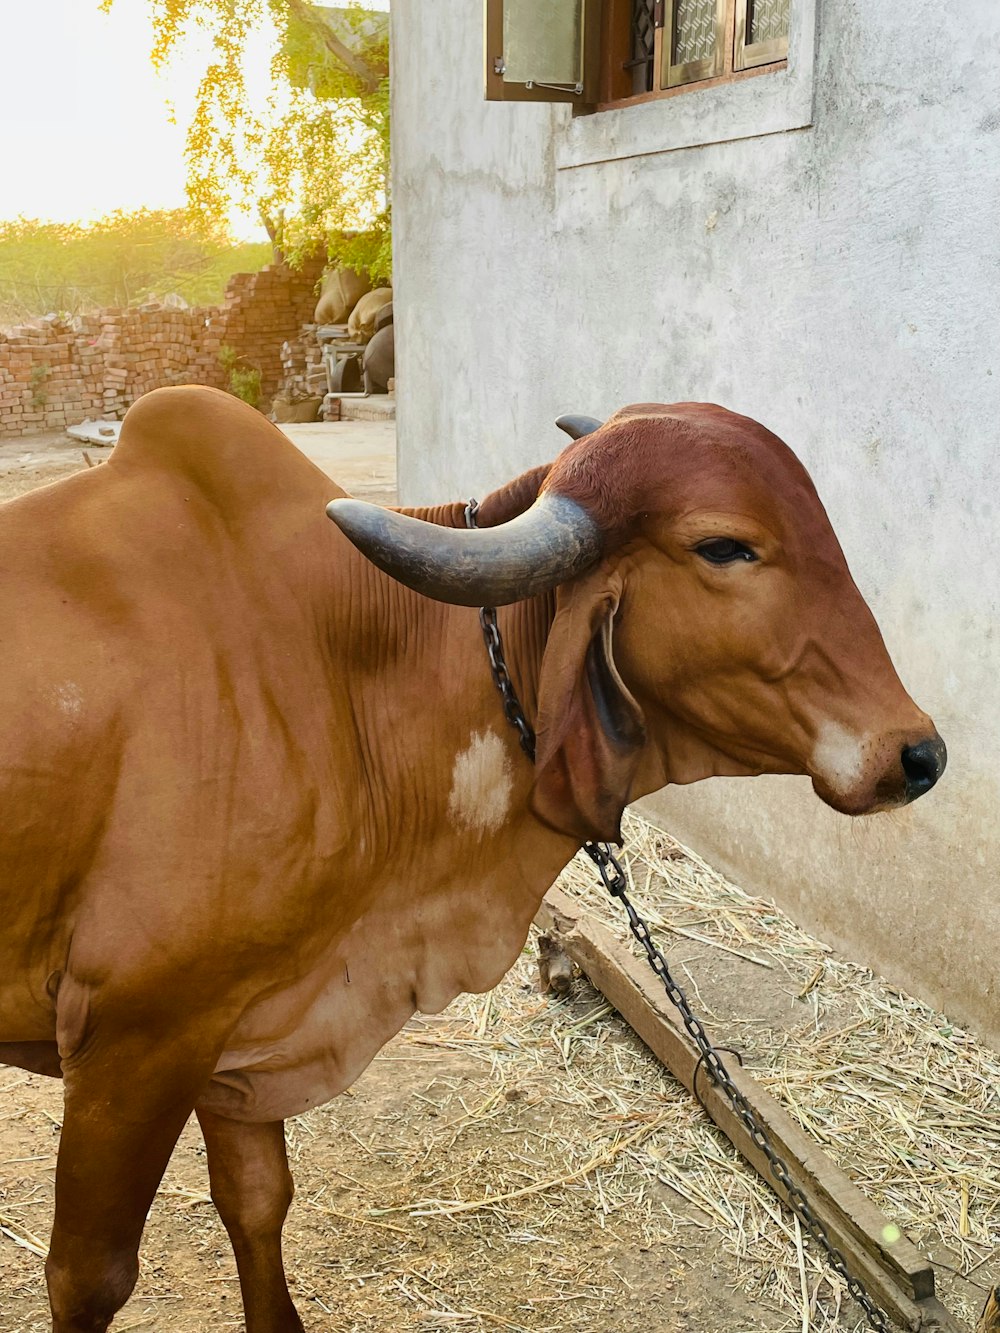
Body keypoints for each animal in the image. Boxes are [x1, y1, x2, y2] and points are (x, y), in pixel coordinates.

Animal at [0, 389, 944, 1333]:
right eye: (724, 546)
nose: (919, 753)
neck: (339, 665)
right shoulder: (135, 1041)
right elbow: (89, 1276)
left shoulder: (238, 1025)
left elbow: (258, 1199)